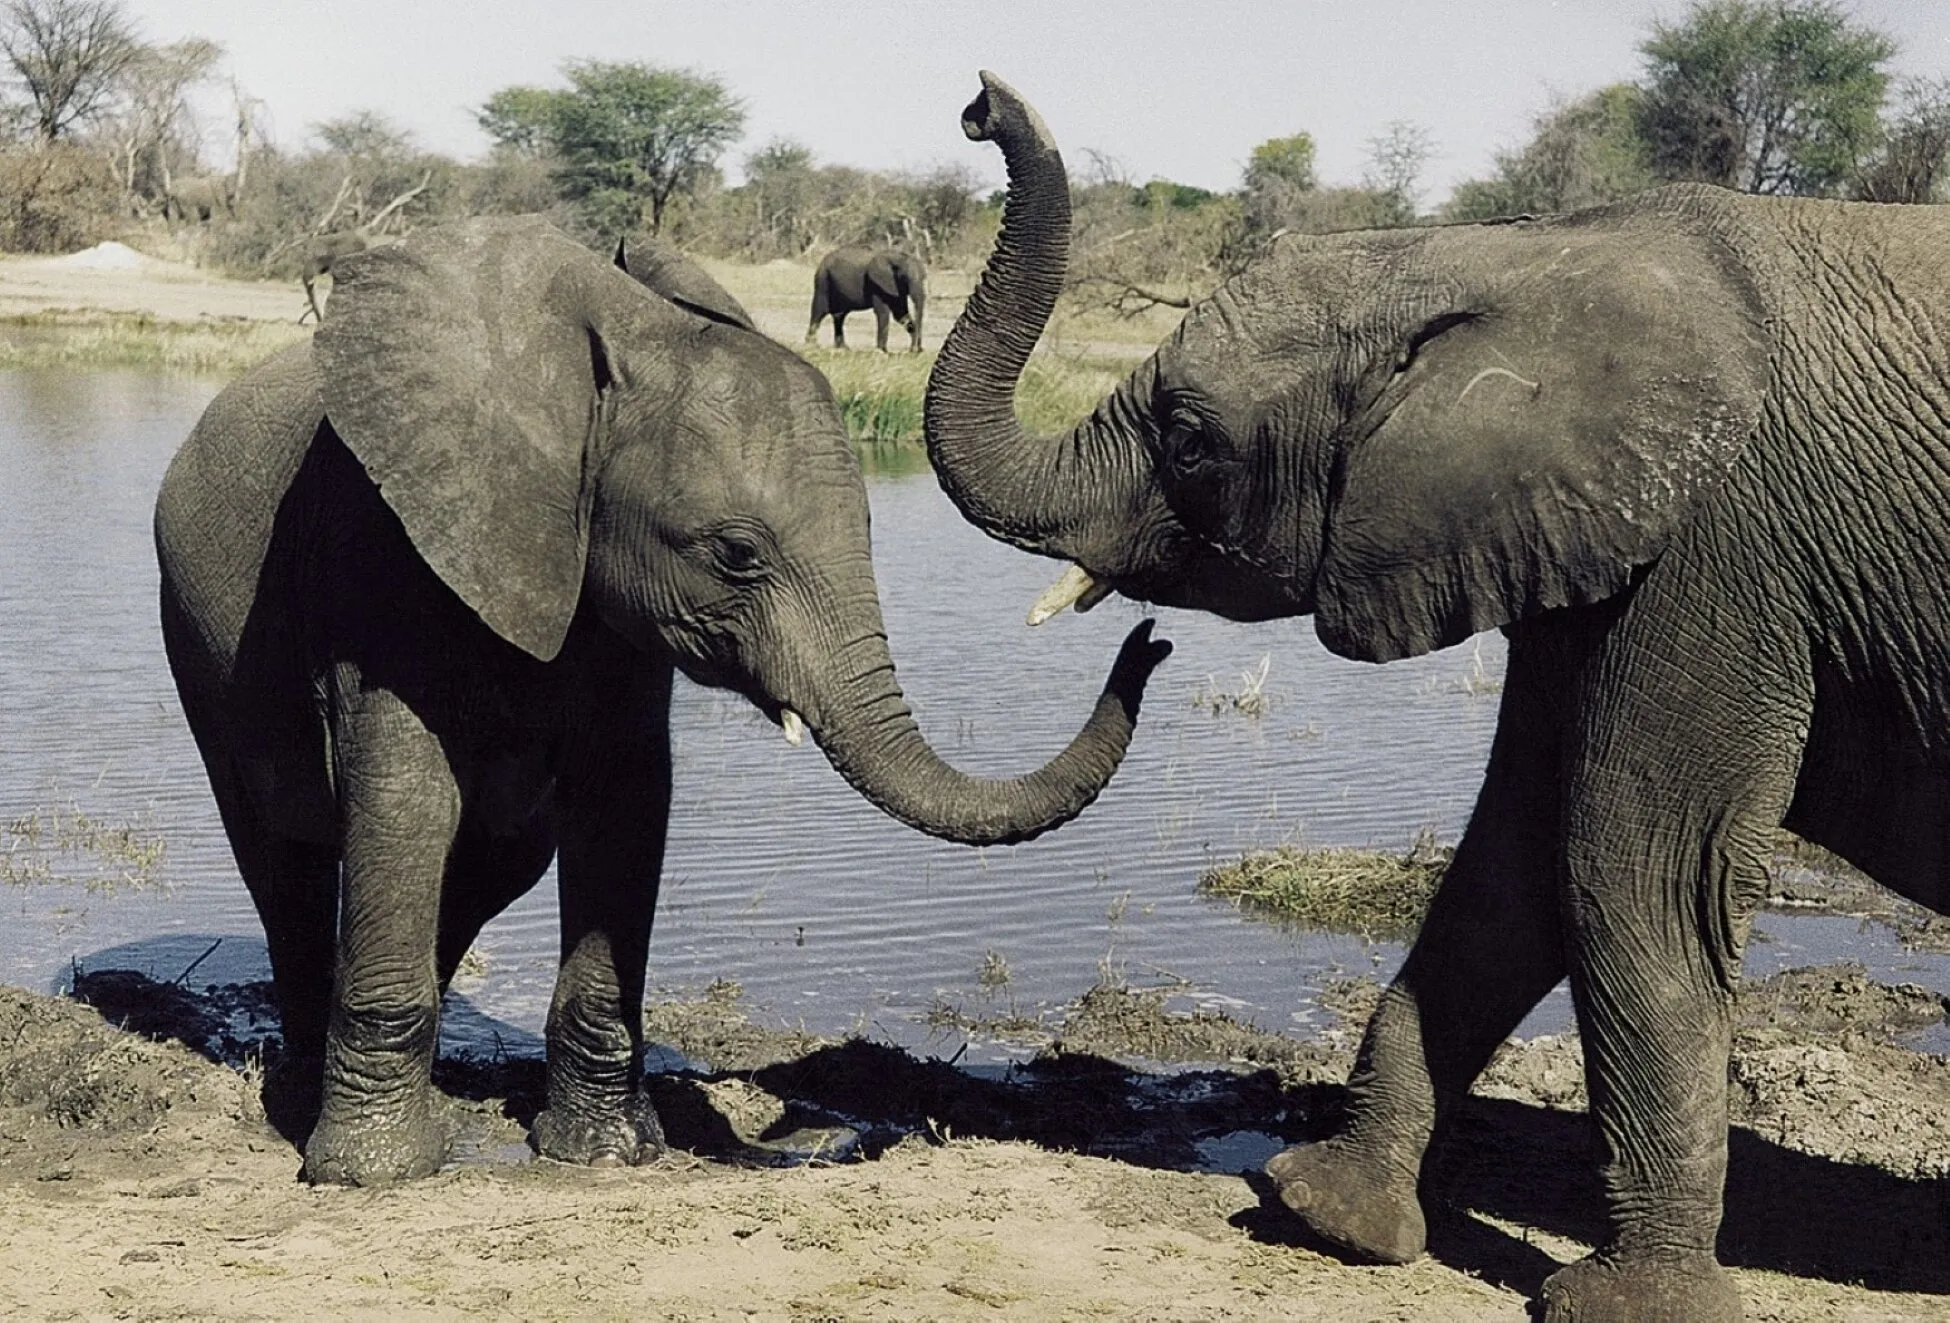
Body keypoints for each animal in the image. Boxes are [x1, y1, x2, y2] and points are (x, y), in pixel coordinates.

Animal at [154, 214, 1170, 1187]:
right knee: (281, 855)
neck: (605, 369)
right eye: (737, 554)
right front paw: (375, 1174)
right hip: (196, 647)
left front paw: (605, 1155)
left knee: (497, 859)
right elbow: (406, 803)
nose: (1149, 641)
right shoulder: (382, 555)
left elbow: (627, 805)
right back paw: (301, 1085)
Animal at [922, 73, 1950, 1323]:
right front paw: (1328, 1211)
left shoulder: (1719, 548)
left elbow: (1634, 868)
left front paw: (1629, 1308)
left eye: (1190, 442)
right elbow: (1512, 862)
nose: (980, 105)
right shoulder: (1573, 535)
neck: (1512, 259)